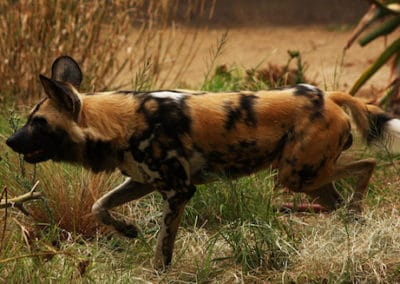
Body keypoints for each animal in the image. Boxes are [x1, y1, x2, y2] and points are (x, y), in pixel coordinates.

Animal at [6, 55, 400, 268]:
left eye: (37, 123)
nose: (9, 141)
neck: (118, 122)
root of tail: (327, 95)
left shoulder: (179, 191)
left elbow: (163, 249)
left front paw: (158, 271)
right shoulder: (142, 180)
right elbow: (98, 206)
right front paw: (128, 230)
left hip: (296, 175)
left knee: (368, 163)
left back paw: (357, 209)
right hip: (308, 177)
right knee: (344, 197)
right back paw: (354, 222)